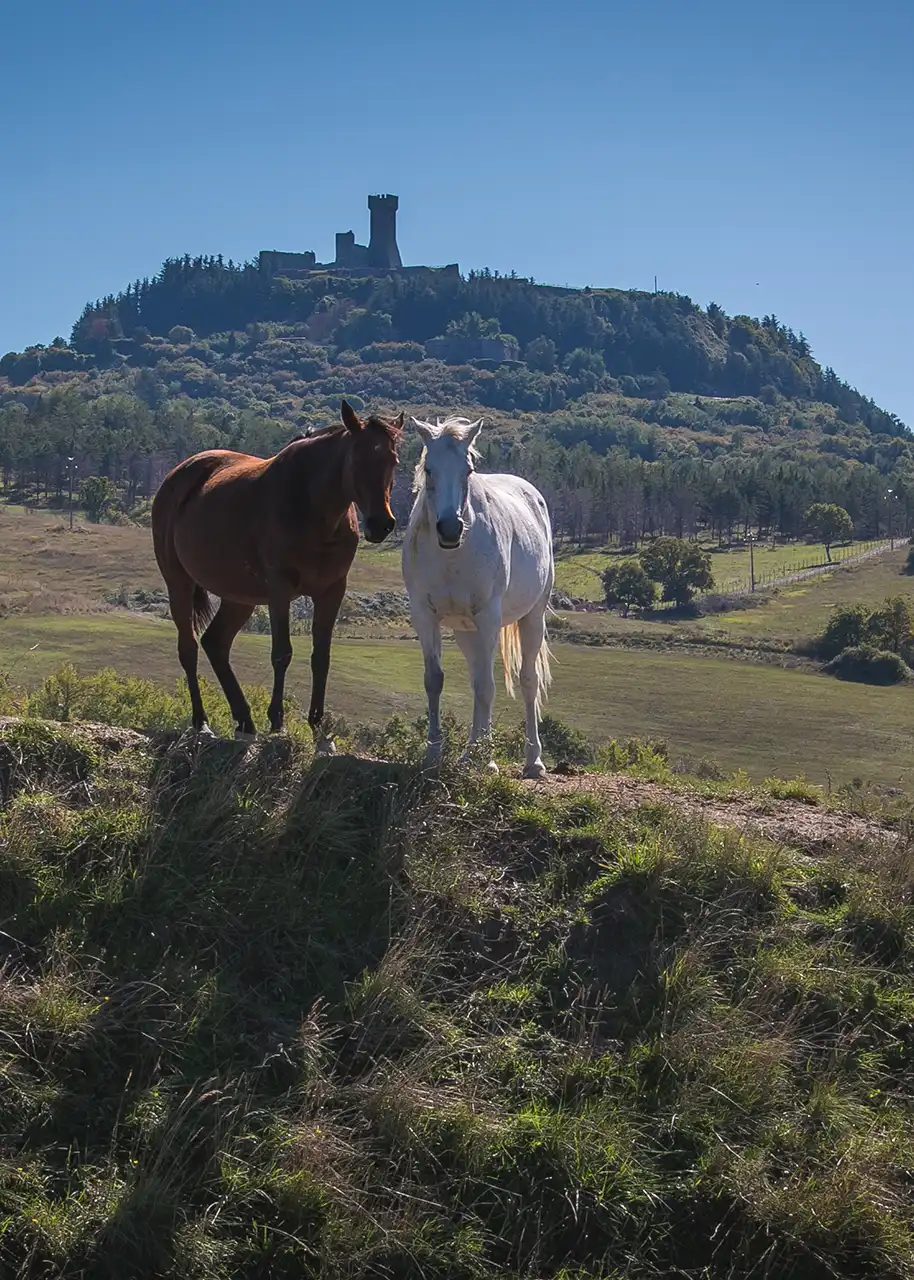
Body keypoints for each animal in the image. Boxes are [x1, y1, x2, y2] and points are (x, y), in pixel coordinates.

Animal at [151, 396, 399, 742]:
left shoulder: (332, 590)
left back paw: (244, 720)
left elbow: (321, 656)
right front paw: (277, 720)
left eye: (394, 461)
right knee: (188, 648)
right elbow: (282, 653)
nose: (381, 524)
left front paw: (317, 725)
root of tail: (177, 476)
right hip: (179, 584)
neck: (312, 506)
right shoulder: (280, 590)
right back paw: (201, 722)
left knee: (215, 643)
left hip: (238, 597)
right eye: (357, 458)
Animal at [401, 419, 553, 773]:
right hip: (465, 630)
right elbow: (435, 680)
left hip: (532, 618)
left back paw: (533, 760)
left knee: (527, 680)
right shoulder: (425, 616)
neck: (452, 556)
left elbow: (488, 687)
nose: (449, 529)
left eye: (467, 470)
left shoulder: (487, 617)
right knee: (477, 679)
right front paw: (434, 753)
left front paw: (484, 759)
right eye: (429, 469)